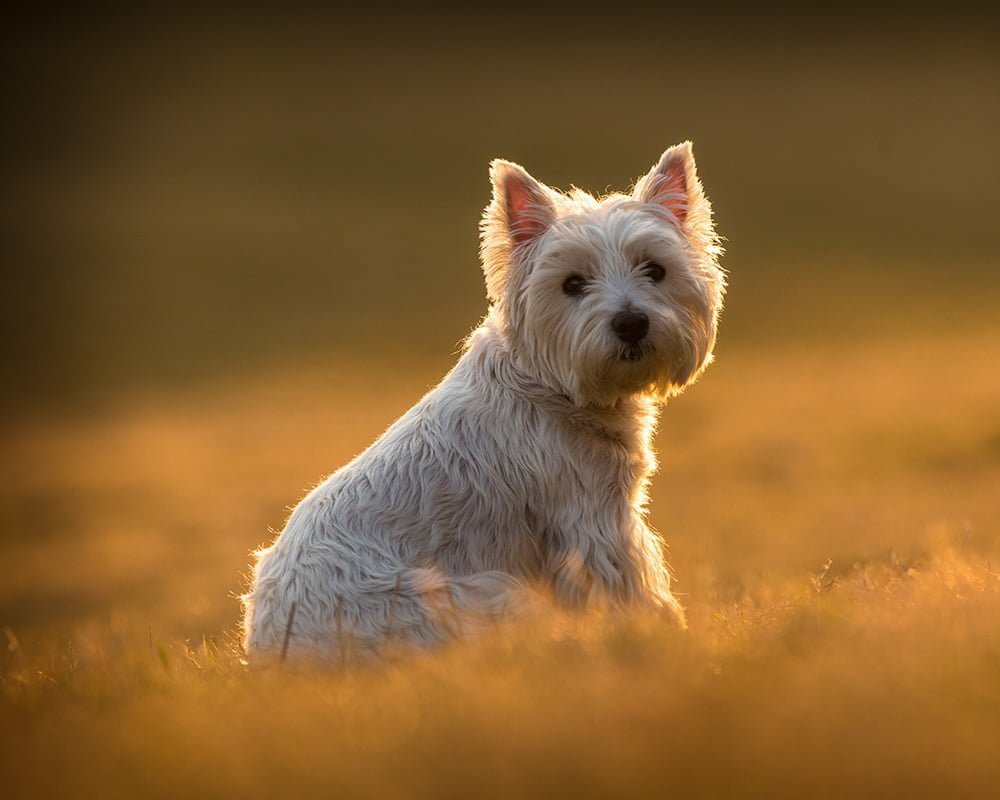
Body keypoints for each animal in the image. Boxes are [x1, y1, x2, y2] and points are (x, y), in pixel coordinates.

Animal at [244, 144, 728, 664]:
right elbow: (634, 587)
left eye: (655, 270)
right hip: (474, 596)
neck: (550, 386)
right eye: (572, 283)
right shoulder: (592, 518)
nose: (631, 323)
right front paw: (665, 636)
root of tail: (272, 652)